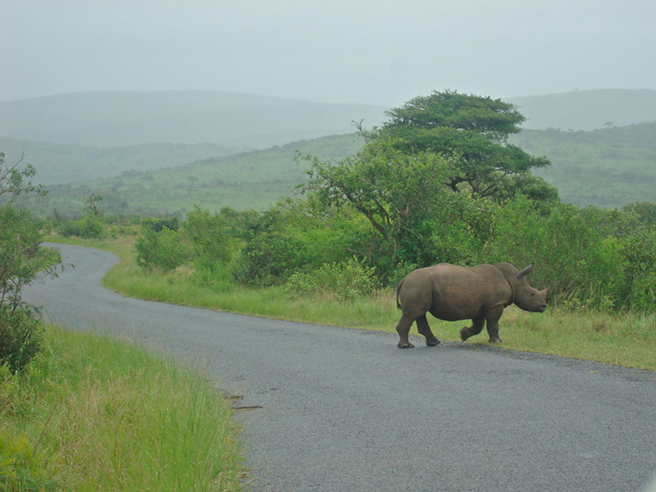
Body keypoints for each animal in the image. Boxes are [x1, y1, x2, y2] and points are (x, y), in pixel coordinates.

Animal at [394, 264, 548, 348]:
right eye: (532, 293)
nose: (544, 306)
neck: (512, 279)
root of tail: (403, 280)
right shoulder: (495, 304)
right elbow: (493, 325)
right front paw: (498, 342)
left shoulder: (480, 306)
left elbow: (478, 326)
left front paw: (463, 334)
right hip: (417, 284)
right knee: (413, 314)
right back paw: (406, 346)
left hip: (420, 285)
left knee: (420, 313)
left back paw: (434, 342)